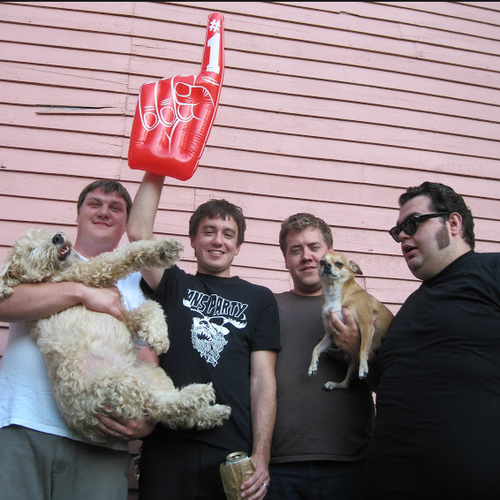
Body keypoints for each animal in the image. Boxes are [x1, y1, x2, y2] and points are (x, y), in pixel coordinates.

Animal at [0, 229, 231, 444]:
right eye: (31, 251)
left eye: (44, 233)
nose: (57, 237)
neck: (52, 275)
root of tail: (86, 426)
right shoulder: (92, 271)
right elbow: (125, 254)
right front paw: (163, 249)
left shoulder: (122, 314)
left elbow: (151, 307)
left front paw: (158, 335)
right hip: (117, 384)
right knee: (161, 406)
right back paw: (198, 394)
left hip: (149, 373)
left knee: (170, 413)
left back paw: (214, 413)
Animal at [308, 252, 393, 390]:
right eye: (322, 262)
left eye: (339, 264)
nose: (327, 265)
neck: (334, 294)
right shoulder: (330, 334)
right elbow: (316, 348)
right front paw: (312, 366)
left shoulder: (367, 327)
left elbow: (363, 348)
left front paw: (363, 368)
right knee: (345, 384)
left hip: (354, 361)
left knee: (347, 382)